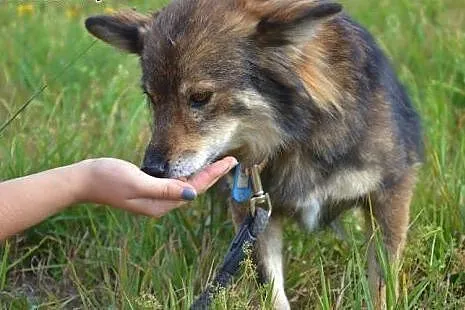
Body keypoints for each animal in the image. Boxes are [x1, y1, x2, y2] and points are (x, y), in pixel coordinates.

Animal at [85, 1, 422, 308]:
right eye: (152, 99)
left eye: (200, 97)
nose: (151, 170)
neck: (295, 136)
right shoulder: (252, 214)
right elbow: (271, 288)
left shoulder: (390, 193)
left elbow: (381, 282)